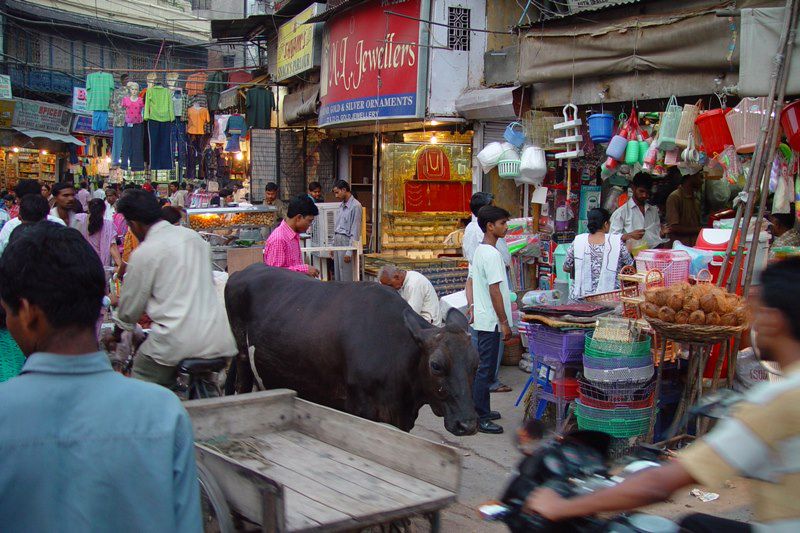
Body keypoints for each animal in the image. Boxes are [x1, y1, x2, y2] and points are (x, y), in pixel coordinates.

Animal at [222, 266, 478, 436]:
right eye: (435, 365)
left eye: (476, 364)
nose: (467, 424)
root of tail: (243, 271)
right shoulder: (361, 410)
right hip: (242, 355)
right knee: (241, 385)